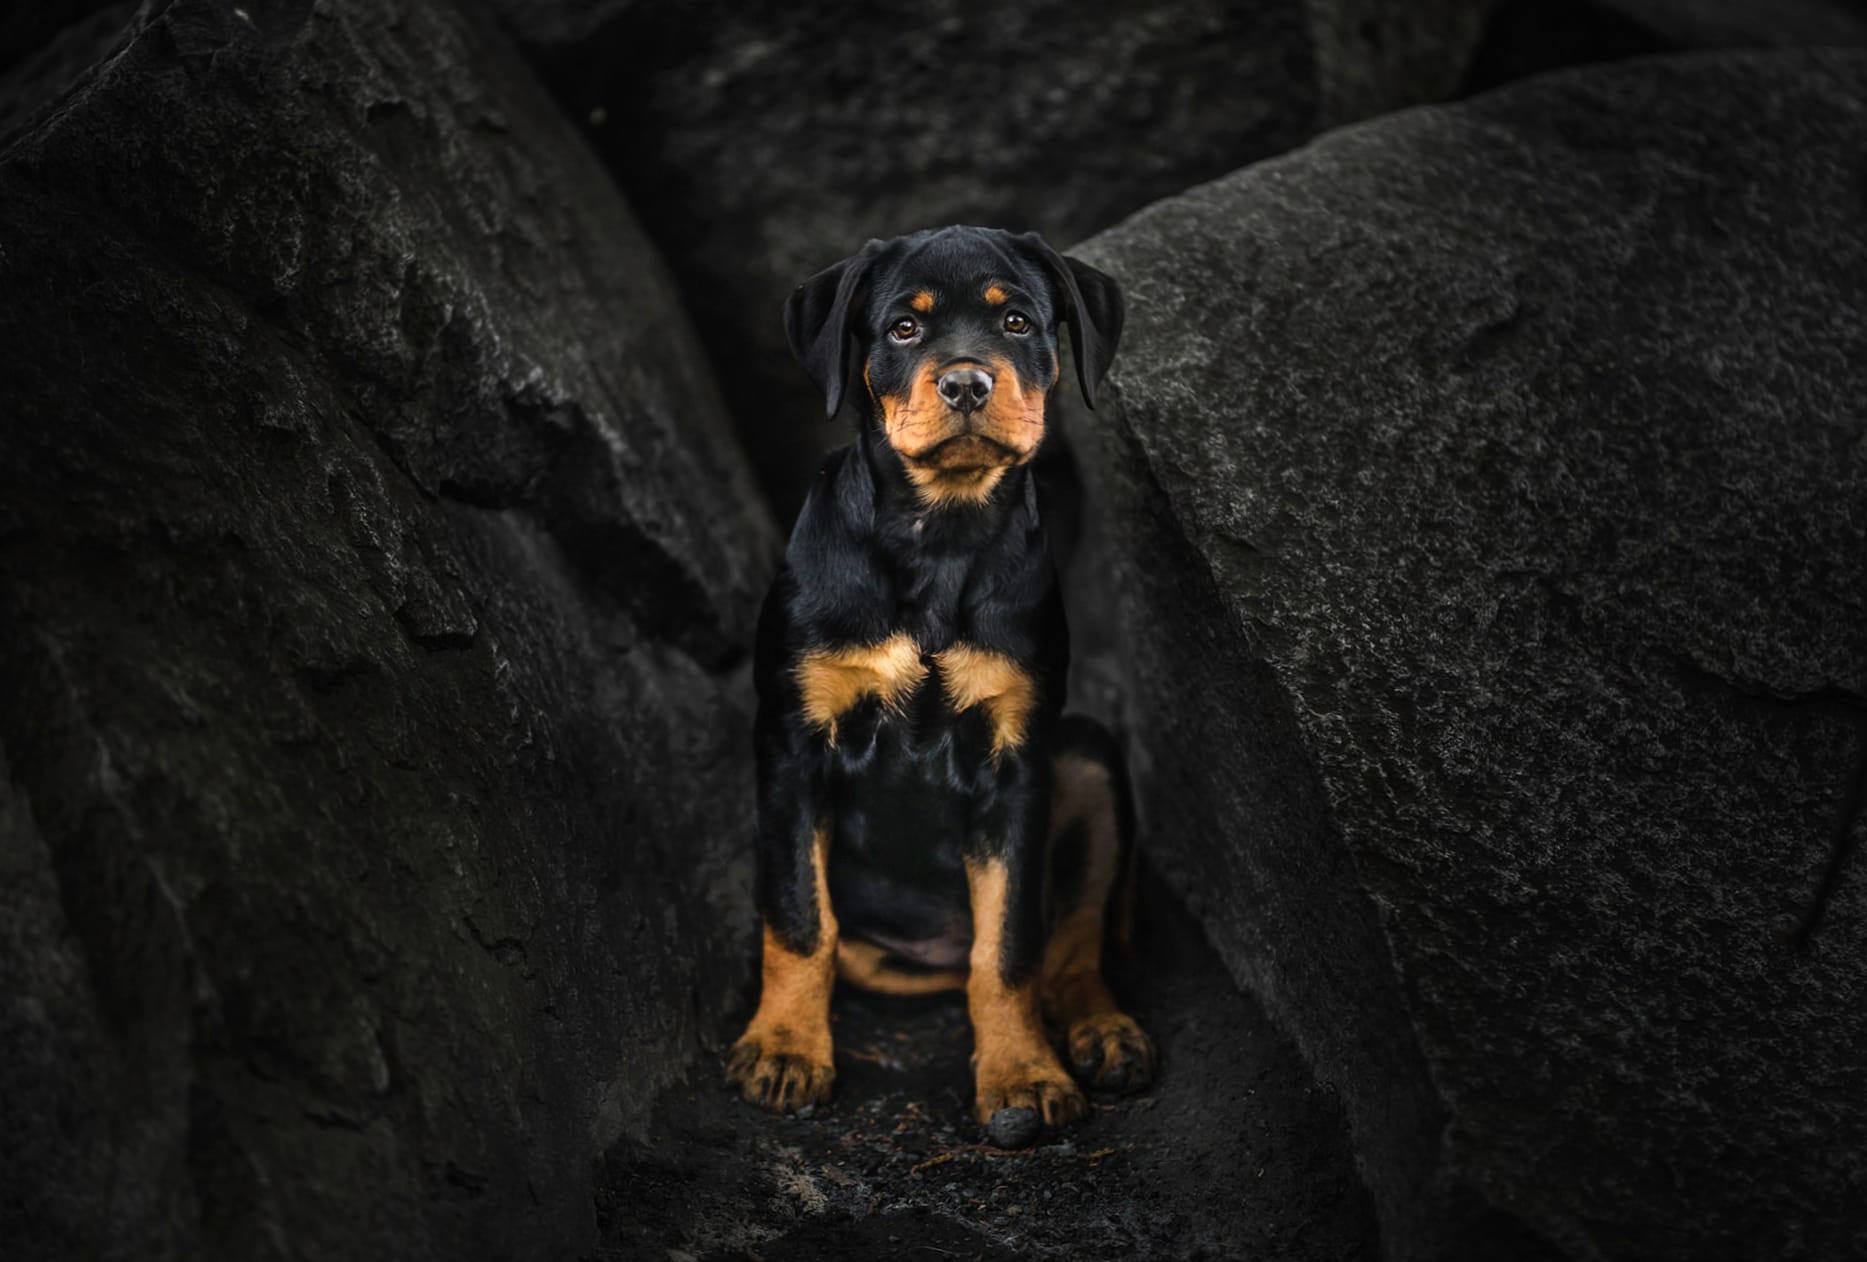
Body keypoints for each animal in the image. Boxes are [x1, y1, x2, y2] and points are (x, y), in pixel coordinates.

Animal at [724, 224, 1150, 1142]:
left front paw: (1021, 1075)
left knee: (1067, 940)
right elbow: (799, 919)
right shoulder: (792, 746)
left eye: (1017, 321)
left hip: (1086, 758)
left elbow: (1010, 945)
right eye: (904, 329)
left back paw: (1101, 1032)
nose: (965, 382)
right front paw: (784, 1051)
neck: (939, 534)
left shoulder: (1014, 765)